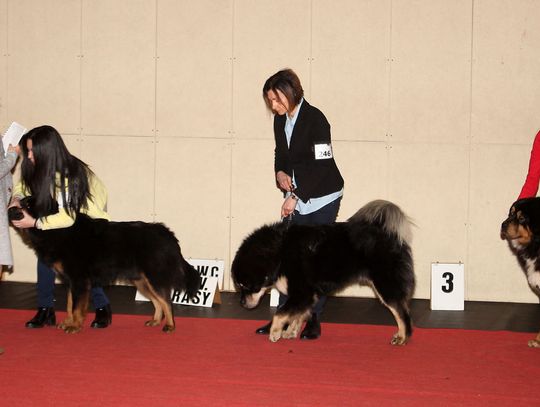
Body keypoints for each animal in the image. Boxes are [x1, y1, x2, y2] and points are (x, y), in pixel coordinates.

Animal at [8, 198, 200, 334]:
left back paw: (170, 325)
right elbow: (70, 304)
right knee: (157, 301)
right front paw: (69, 322)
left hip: (153, 277)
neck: (58, 230)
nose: (9, 209)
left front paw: (75, 326)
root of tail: (166, 233)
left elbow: (76, 306)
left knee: (166, 301)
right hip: (141, 281)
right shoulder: (71, 281)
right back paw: (155, 320)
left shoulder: (79, 279)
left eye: (26, 204)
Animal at [231, 199, 414, 346]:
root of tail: (389, 234)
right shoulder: (306, 295)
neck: (279, 252)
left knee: (402, 312)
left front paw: (275, 332)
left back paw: (402, 337)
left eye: (245, 285)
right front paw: (290, 332)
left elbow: (280, 312)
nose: (241, 303)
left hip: (385, 284)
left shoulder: (302, 292)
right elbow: (297, 315)